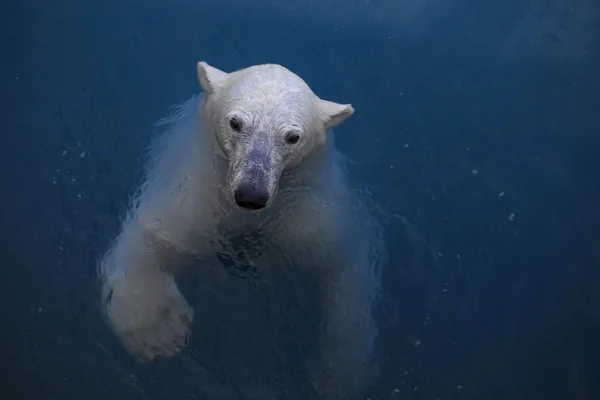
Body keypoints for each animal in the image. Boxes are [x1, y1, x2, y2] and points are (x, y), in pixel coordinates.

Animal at [99, 61, 384, 398]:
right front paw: (161, 334)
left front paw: (340, 375)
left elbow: (342, 268)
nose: (251, 194)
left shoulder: (309, 210)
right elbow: (158, 233)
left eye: (293, 137)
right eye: (235, 123)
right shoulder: (196, 188)